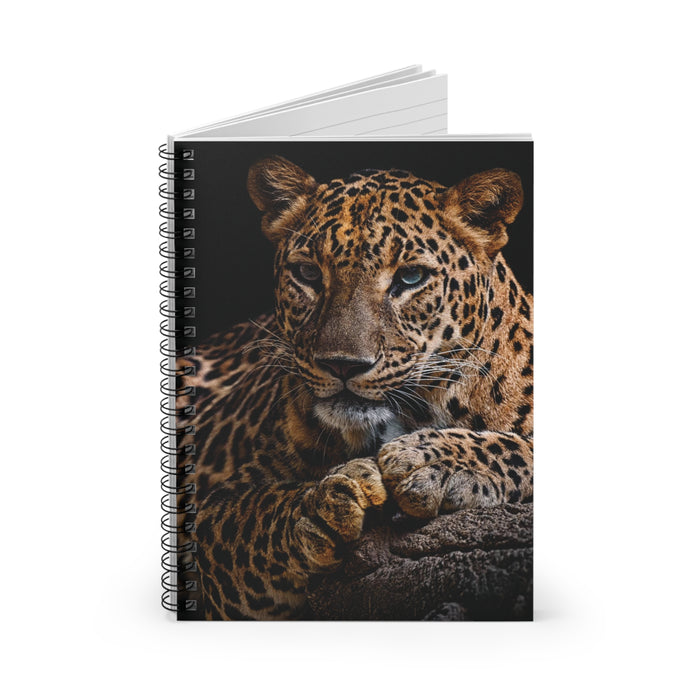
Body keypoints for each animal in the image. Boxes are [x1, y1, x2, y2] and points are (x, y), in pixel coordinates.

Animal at [175, 156, 533, 620]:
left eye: (411, 277)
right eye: (308, 273)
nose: (342, 364)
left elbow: (519, 447)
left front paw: (431, 461)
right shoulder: (216, 511)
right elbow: (260, 512)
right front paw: (321, 507)